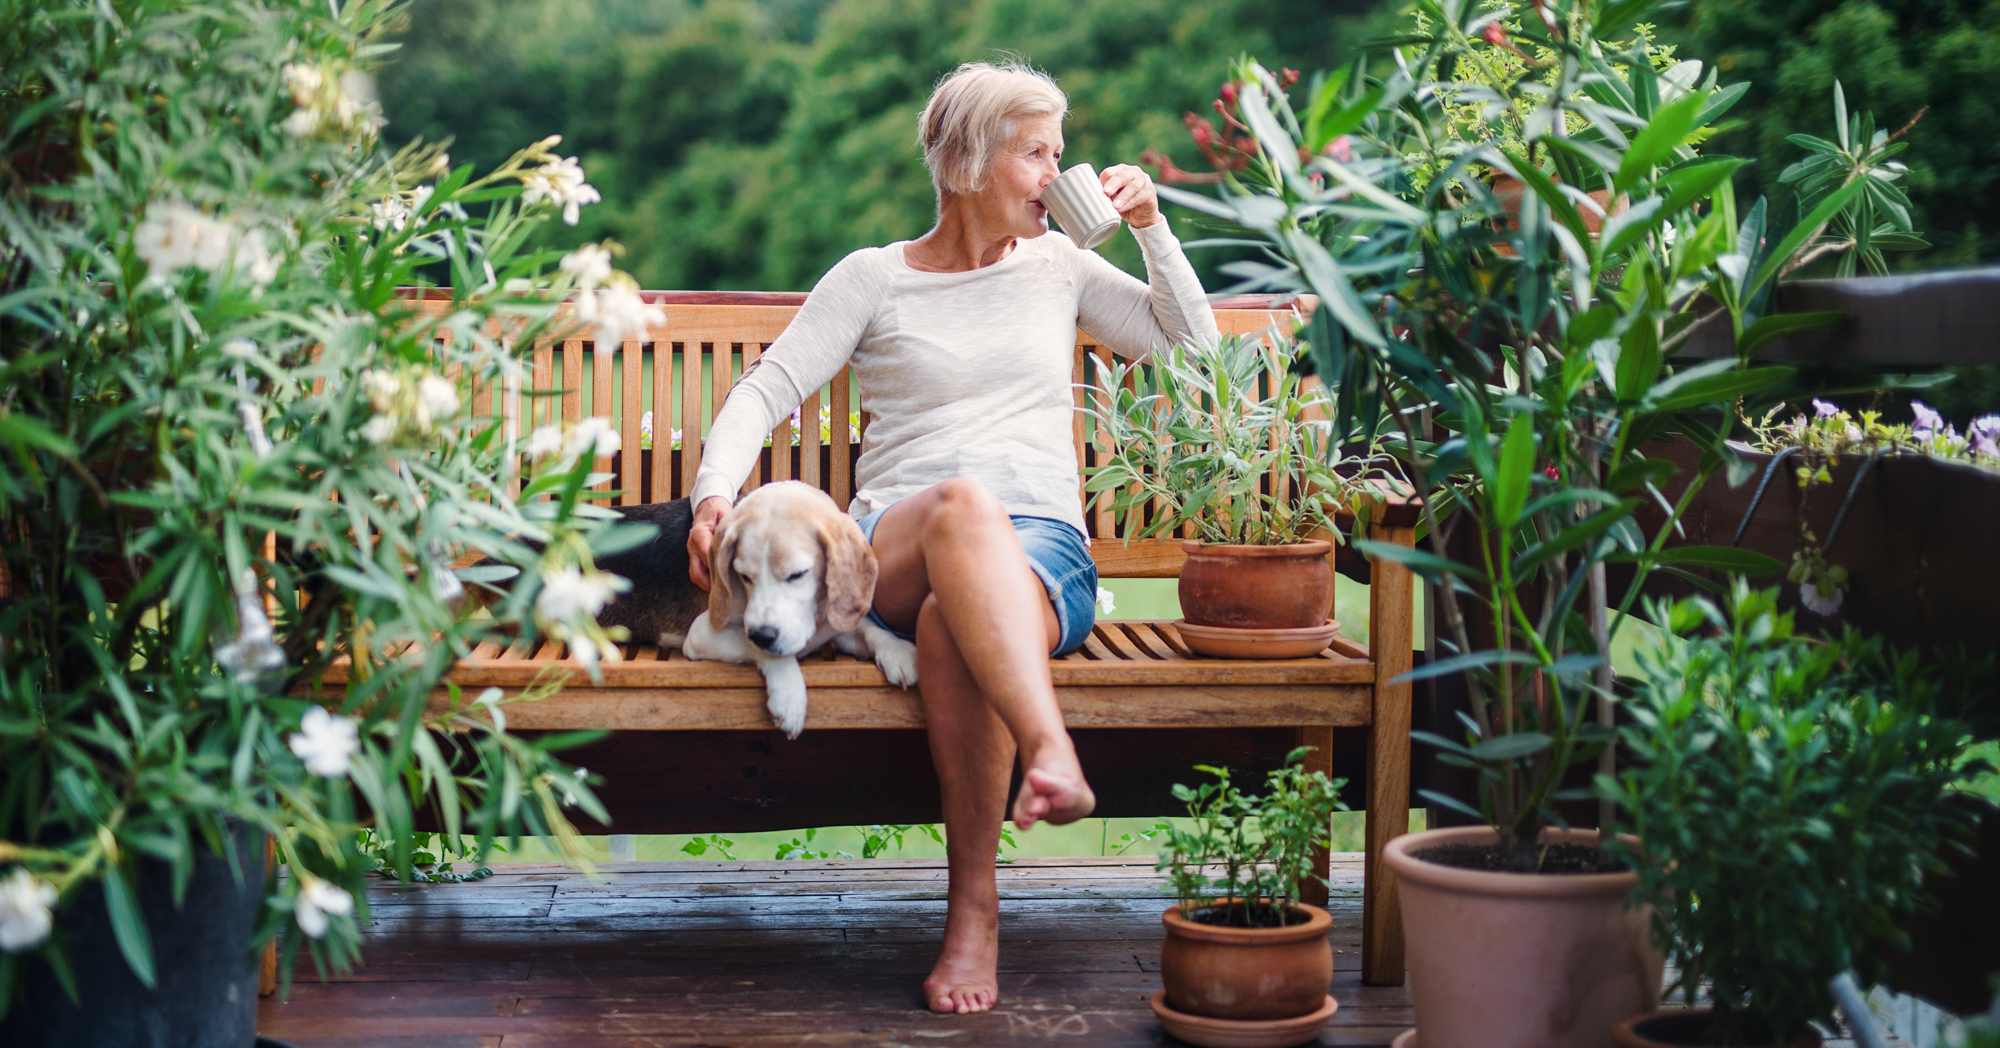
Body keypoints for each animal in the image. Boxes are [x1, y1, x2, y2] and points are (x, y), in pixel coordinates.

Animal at [680, 484, 916, 736]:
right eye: (744, 577)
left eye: (797, 574)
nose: (762, 635)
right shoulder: (700, 633)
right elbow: (758, 647)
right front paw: (789, 696)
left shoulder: (835, 629)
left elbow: (871, 630)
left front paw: (898, 651)